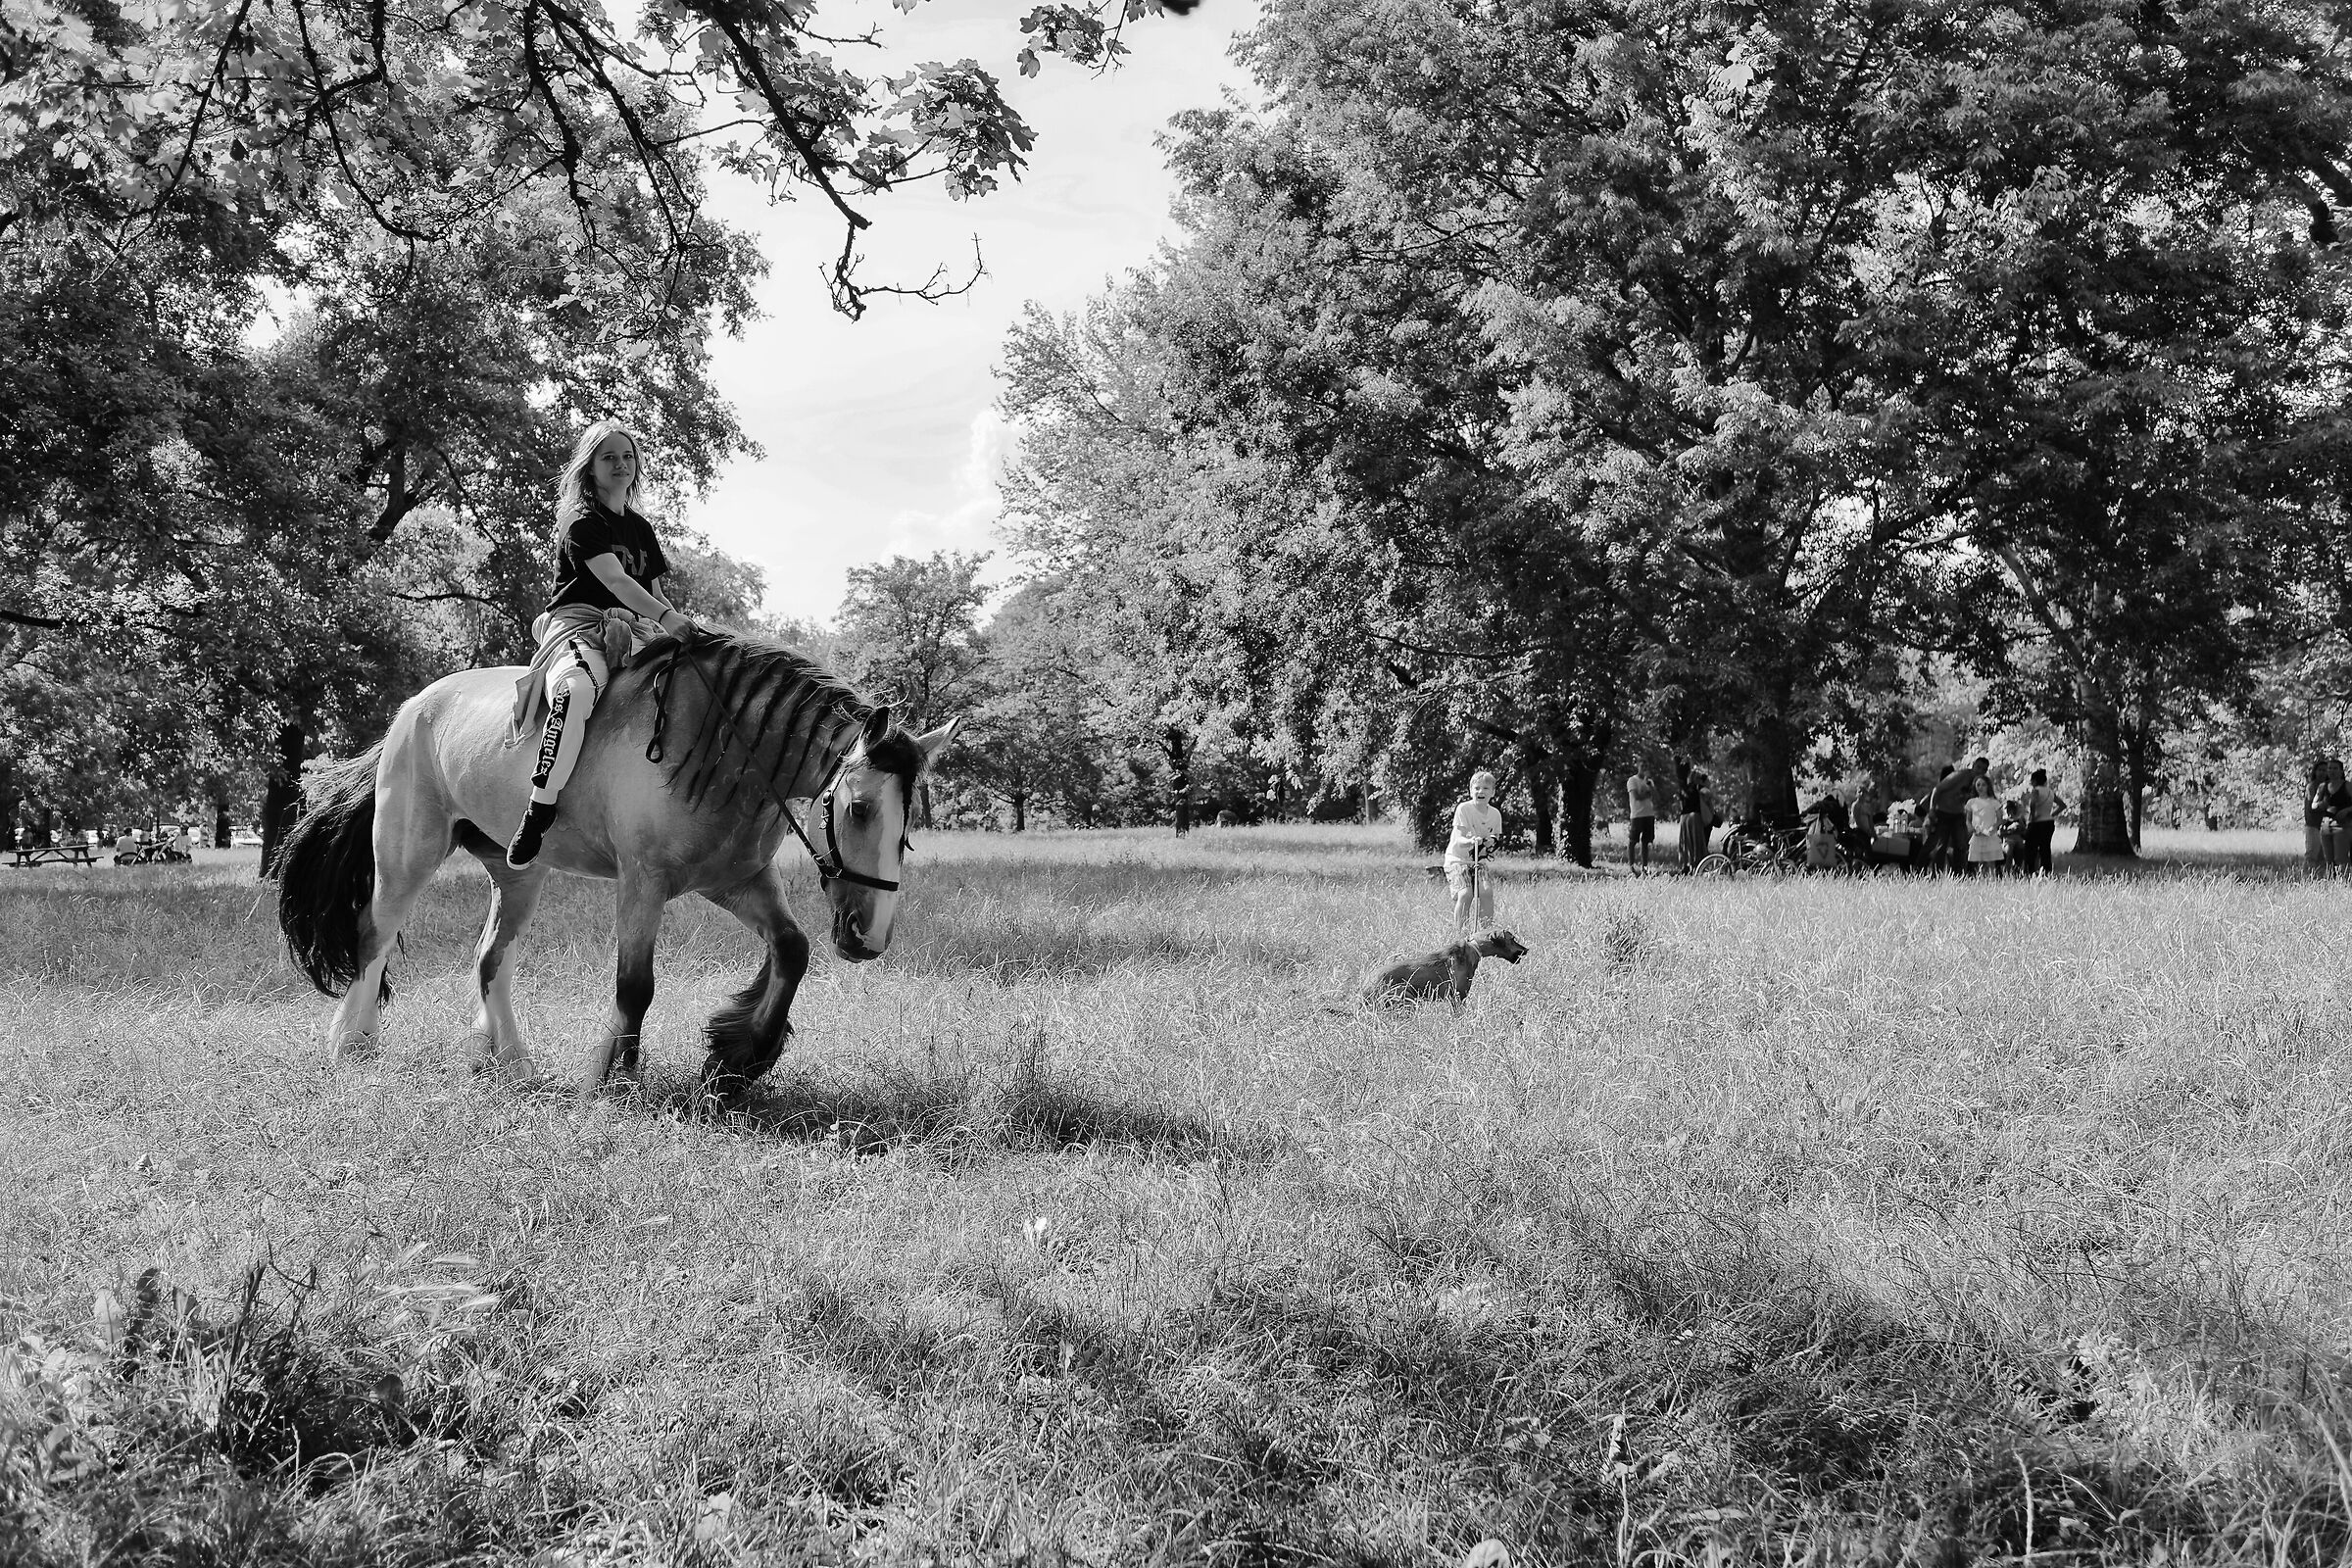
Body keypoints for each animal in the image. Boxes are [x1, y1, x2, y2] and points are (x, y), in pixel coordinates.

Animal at [274, 627, 955, 1101]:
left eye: (907, 833)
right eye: (860, 808)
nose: (870, 937)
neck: (724, 747)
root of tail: (412, 708)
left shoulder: (736, 881)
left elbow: (792, 949)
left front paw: (737, 1056)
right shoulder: (642, 884)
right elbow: (636, 985)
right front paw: (613, 1078)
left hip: (519, 873)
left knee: (490, 957)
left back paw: (513, 1061)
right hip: (406, 856)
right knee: (373, 936)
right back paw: (354, 1044)